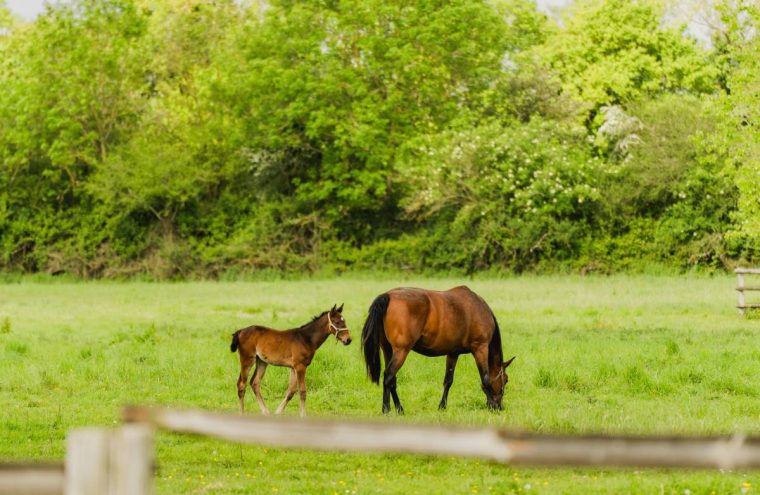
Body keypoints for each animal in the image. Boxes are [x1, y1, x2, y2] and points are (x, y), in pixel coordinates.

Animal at [360, 288, 512, 412]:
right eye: (505, 379)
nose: (501, 406)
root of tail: (388, 296)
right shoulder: (480, 348)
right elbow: (486, 379)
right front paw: (492, 405)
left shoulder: (453, 353)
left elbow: (448, 380)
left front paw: (442, 406)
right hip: (401, 351)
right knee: (388, 376)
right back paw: (386, 409)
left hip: (388, 350)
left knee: (392, 380)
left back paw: (399, 408)